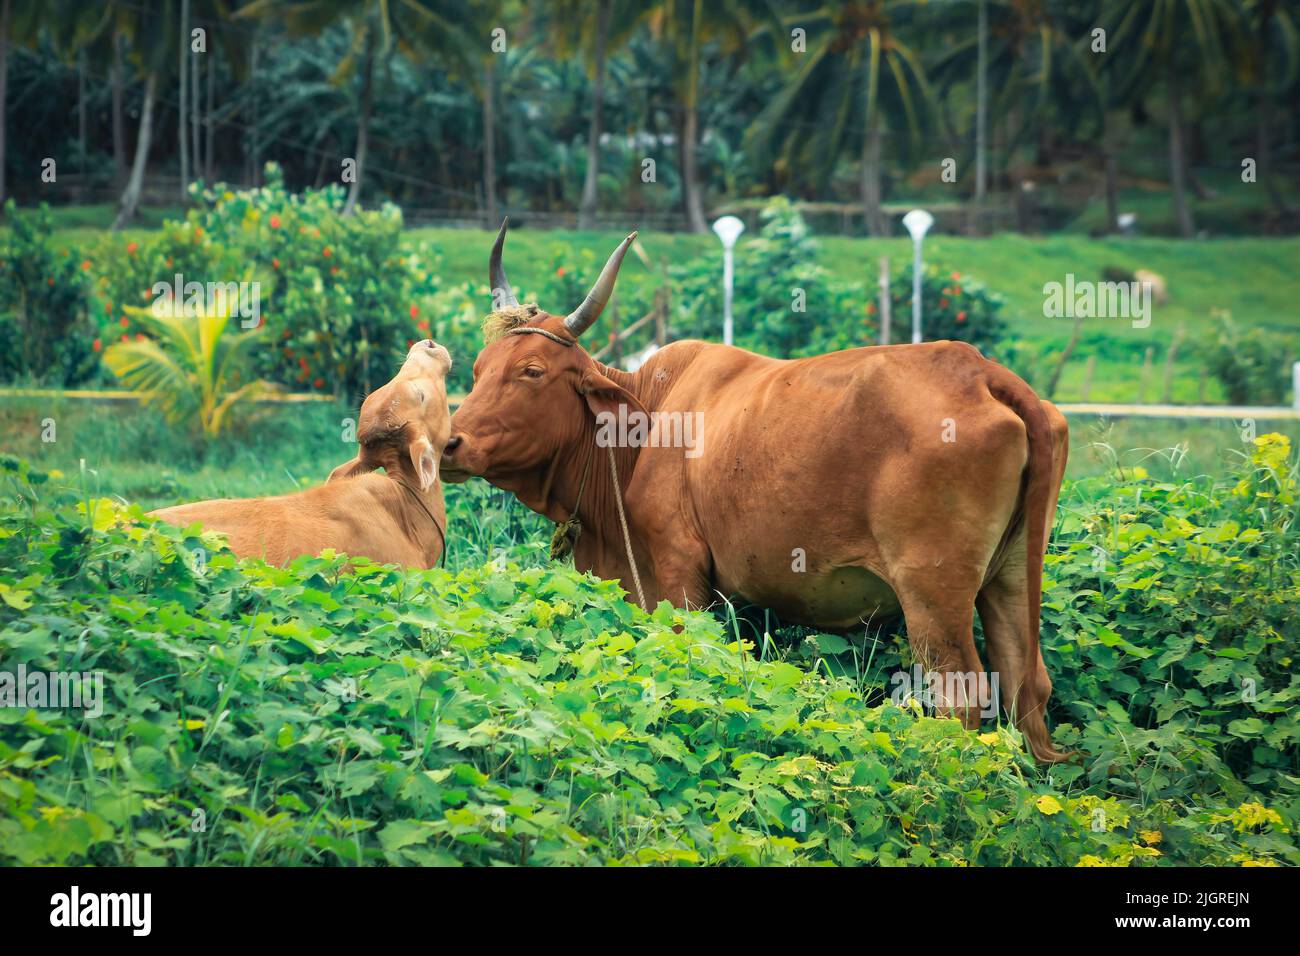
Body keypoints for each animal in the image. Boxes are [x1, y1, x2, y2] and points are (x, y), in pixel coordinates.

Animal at [441, 222, 1071, 762]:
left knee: (962, 698)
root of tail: (985, 374)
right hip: (1011, 577)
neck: (640, 426)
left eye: (531, 370)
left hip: (932, 597)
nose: (449, 443)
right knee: (1027, 684)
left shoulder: (680, 576)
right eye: (478, 367)